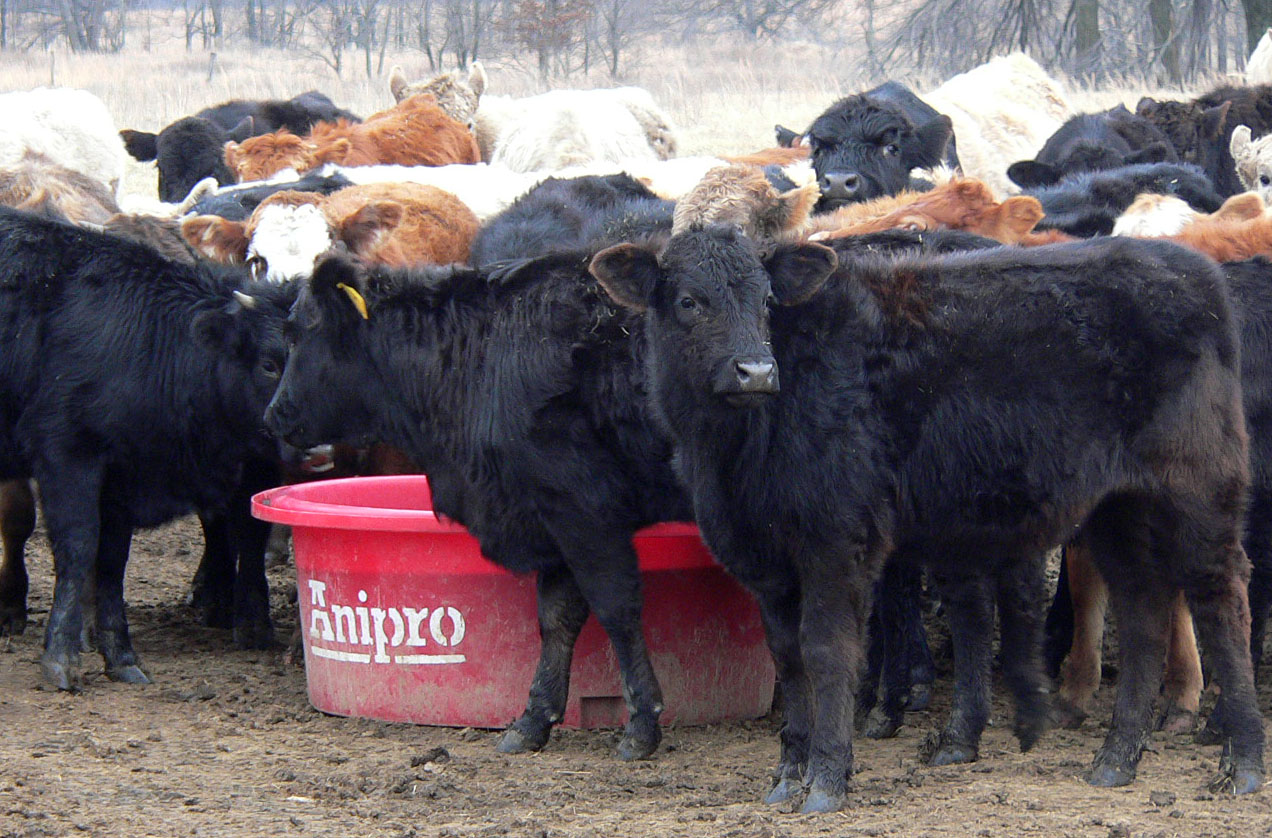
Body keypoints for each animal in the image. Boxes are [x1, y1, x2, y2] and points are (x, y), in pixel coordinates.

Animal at [0, 205, 297, 688]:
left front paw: (120, 656)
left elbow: (111, 561)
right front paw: (61, 655)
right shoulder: (66, 455)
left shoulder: (124, 473)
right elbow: (78, 547)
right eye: (269, 364)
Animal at [589, 228, 1264, 811]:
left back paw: (1243, 762)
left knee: (1220, 599)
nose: (756, 371)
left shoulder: (837, 541)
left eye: (766, 300)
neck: (733, 454)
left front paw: (826, 779)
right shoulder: (766, 560)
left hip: (1198, 491)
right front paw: (787, 775)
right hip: (1117, 508)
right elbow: (788, 659)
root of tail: (1189, 266)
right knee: (1145, 607)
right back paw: (1117, 760)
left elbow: (829, 651)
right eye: (688, 300)